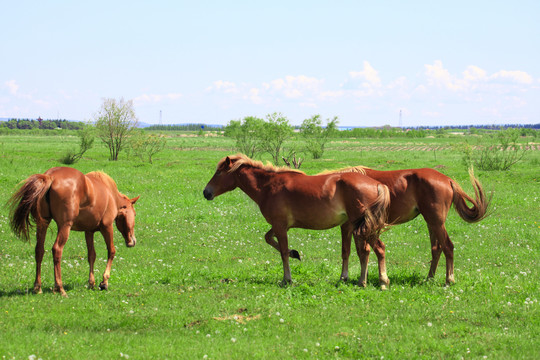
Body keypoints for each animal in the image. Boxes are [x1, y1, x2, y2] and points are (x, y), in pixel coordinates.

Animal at [8, 167, 139, 296]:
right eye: (134, 214)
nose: (133, 241)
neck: (110, 194)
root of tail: (50, 176)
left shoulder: (89, 231)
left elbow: (91, 255)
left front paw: (91, 283)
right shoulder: (107, 227)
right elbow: (111, 251)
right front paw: (104, 282)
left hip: (43, 224)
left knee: (39, 250)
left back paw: (37, 287)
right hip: (65, 226)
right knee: (57, 250)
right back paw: (60, 288)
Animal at [202, 155, 388, 286]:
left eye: (219, 172)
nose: (206, 192)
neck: (268, 186)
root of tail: (378, 185)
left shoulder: (280, 225)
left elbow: (283, 252)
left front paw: (287, 279)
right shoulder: (281, 225)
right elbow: (268, 238)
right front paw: (295, 253)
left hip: (362, 227)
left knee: (373, 249)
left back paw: (374, 281)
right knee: (368, 250)